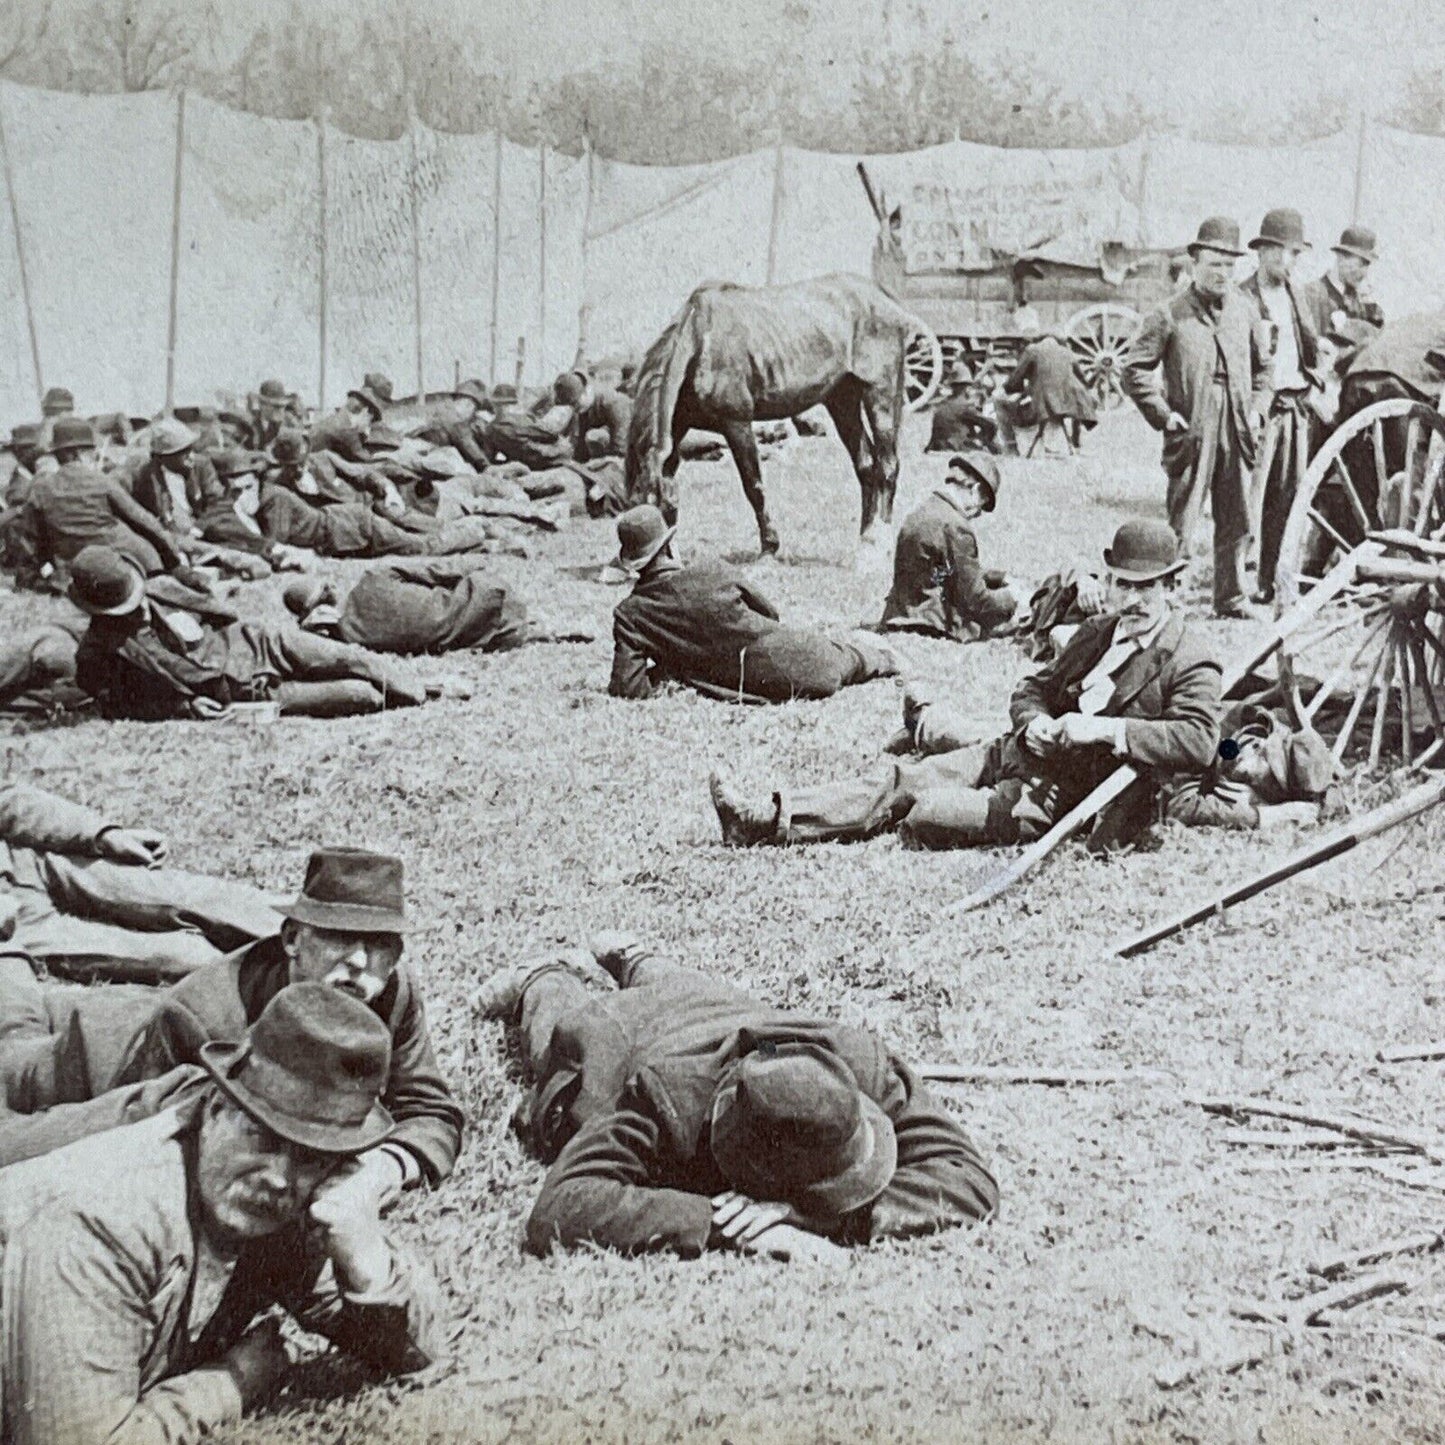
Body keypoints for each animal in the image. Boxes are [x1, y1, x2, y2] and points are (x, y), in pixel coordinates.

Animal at [624, 273, 913, 554]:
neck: (698, 342)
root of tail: (881, 296)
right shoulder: (678, 426)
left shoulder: (737, 424)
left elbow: (754, 486)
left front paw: (769, 547)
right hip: (842, 400)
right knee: (866, 464)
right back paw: (866, 538)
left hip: (880, 394)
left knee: (887, 465)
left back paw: (881, 538)